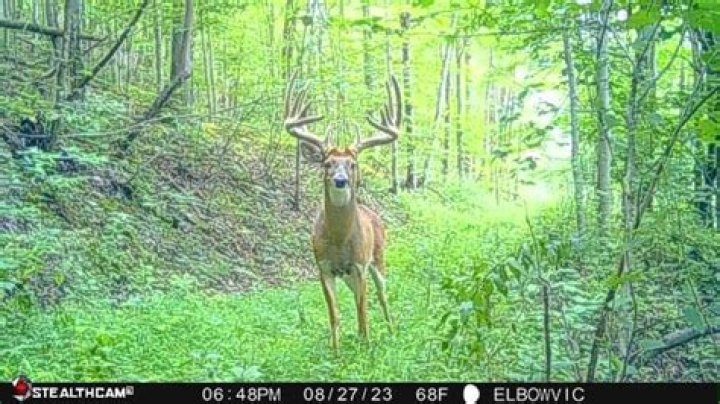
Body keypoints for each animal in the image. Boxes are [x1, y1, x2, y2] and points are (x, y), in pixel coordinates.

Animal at [283, 72, 402, 352]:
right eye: (327, 163)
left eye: (353, 164)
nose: (340, 180)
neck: (339, 239)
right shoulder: (324, 267)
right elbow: (334, 314)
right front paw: (337, 352)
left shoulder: (359, 264)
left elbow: (363, 312)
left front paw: (366, 347)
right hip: (348, 275)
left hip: (378, 258)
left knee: (382, 295)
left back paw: (391, 331)